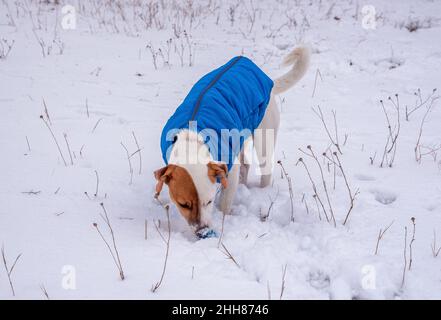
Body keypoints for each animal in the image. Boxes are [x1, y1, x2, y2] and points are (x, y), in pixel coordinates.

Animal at [155, 47, 310, 238]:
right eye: (184, 204)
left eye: (209, 201)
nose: (203, 232)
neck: (192, 139)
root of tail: (270, 83)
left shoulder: (229, 168)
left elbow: (224, 202)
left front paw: (224, 218)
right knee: (246, 164)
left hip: (264, 139)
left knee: (264, 170)